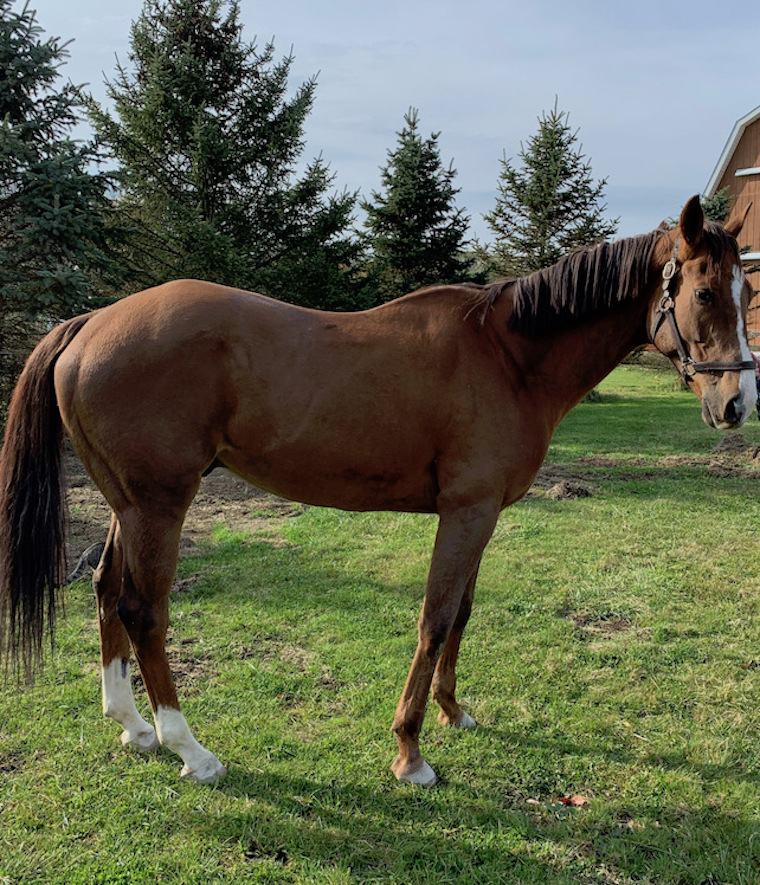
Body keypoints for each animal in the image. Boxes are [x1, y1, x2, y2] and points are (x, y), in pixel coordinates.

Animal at [0, 196, 755, 787]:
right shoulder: (465, 512)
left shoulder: (481, 514)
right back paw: (192, 749)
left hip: (128, 505)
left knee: (104, 589)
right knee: (143, 611)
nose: (737, 403)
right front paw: (410, 751)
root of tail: (90, 324)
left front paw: (454, 711)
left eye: (745, 293)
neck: (508, 357)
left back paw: (132, 726)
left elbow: (463, 614)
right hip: (160, 505)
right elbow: (435, 619)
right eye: (705, 294)